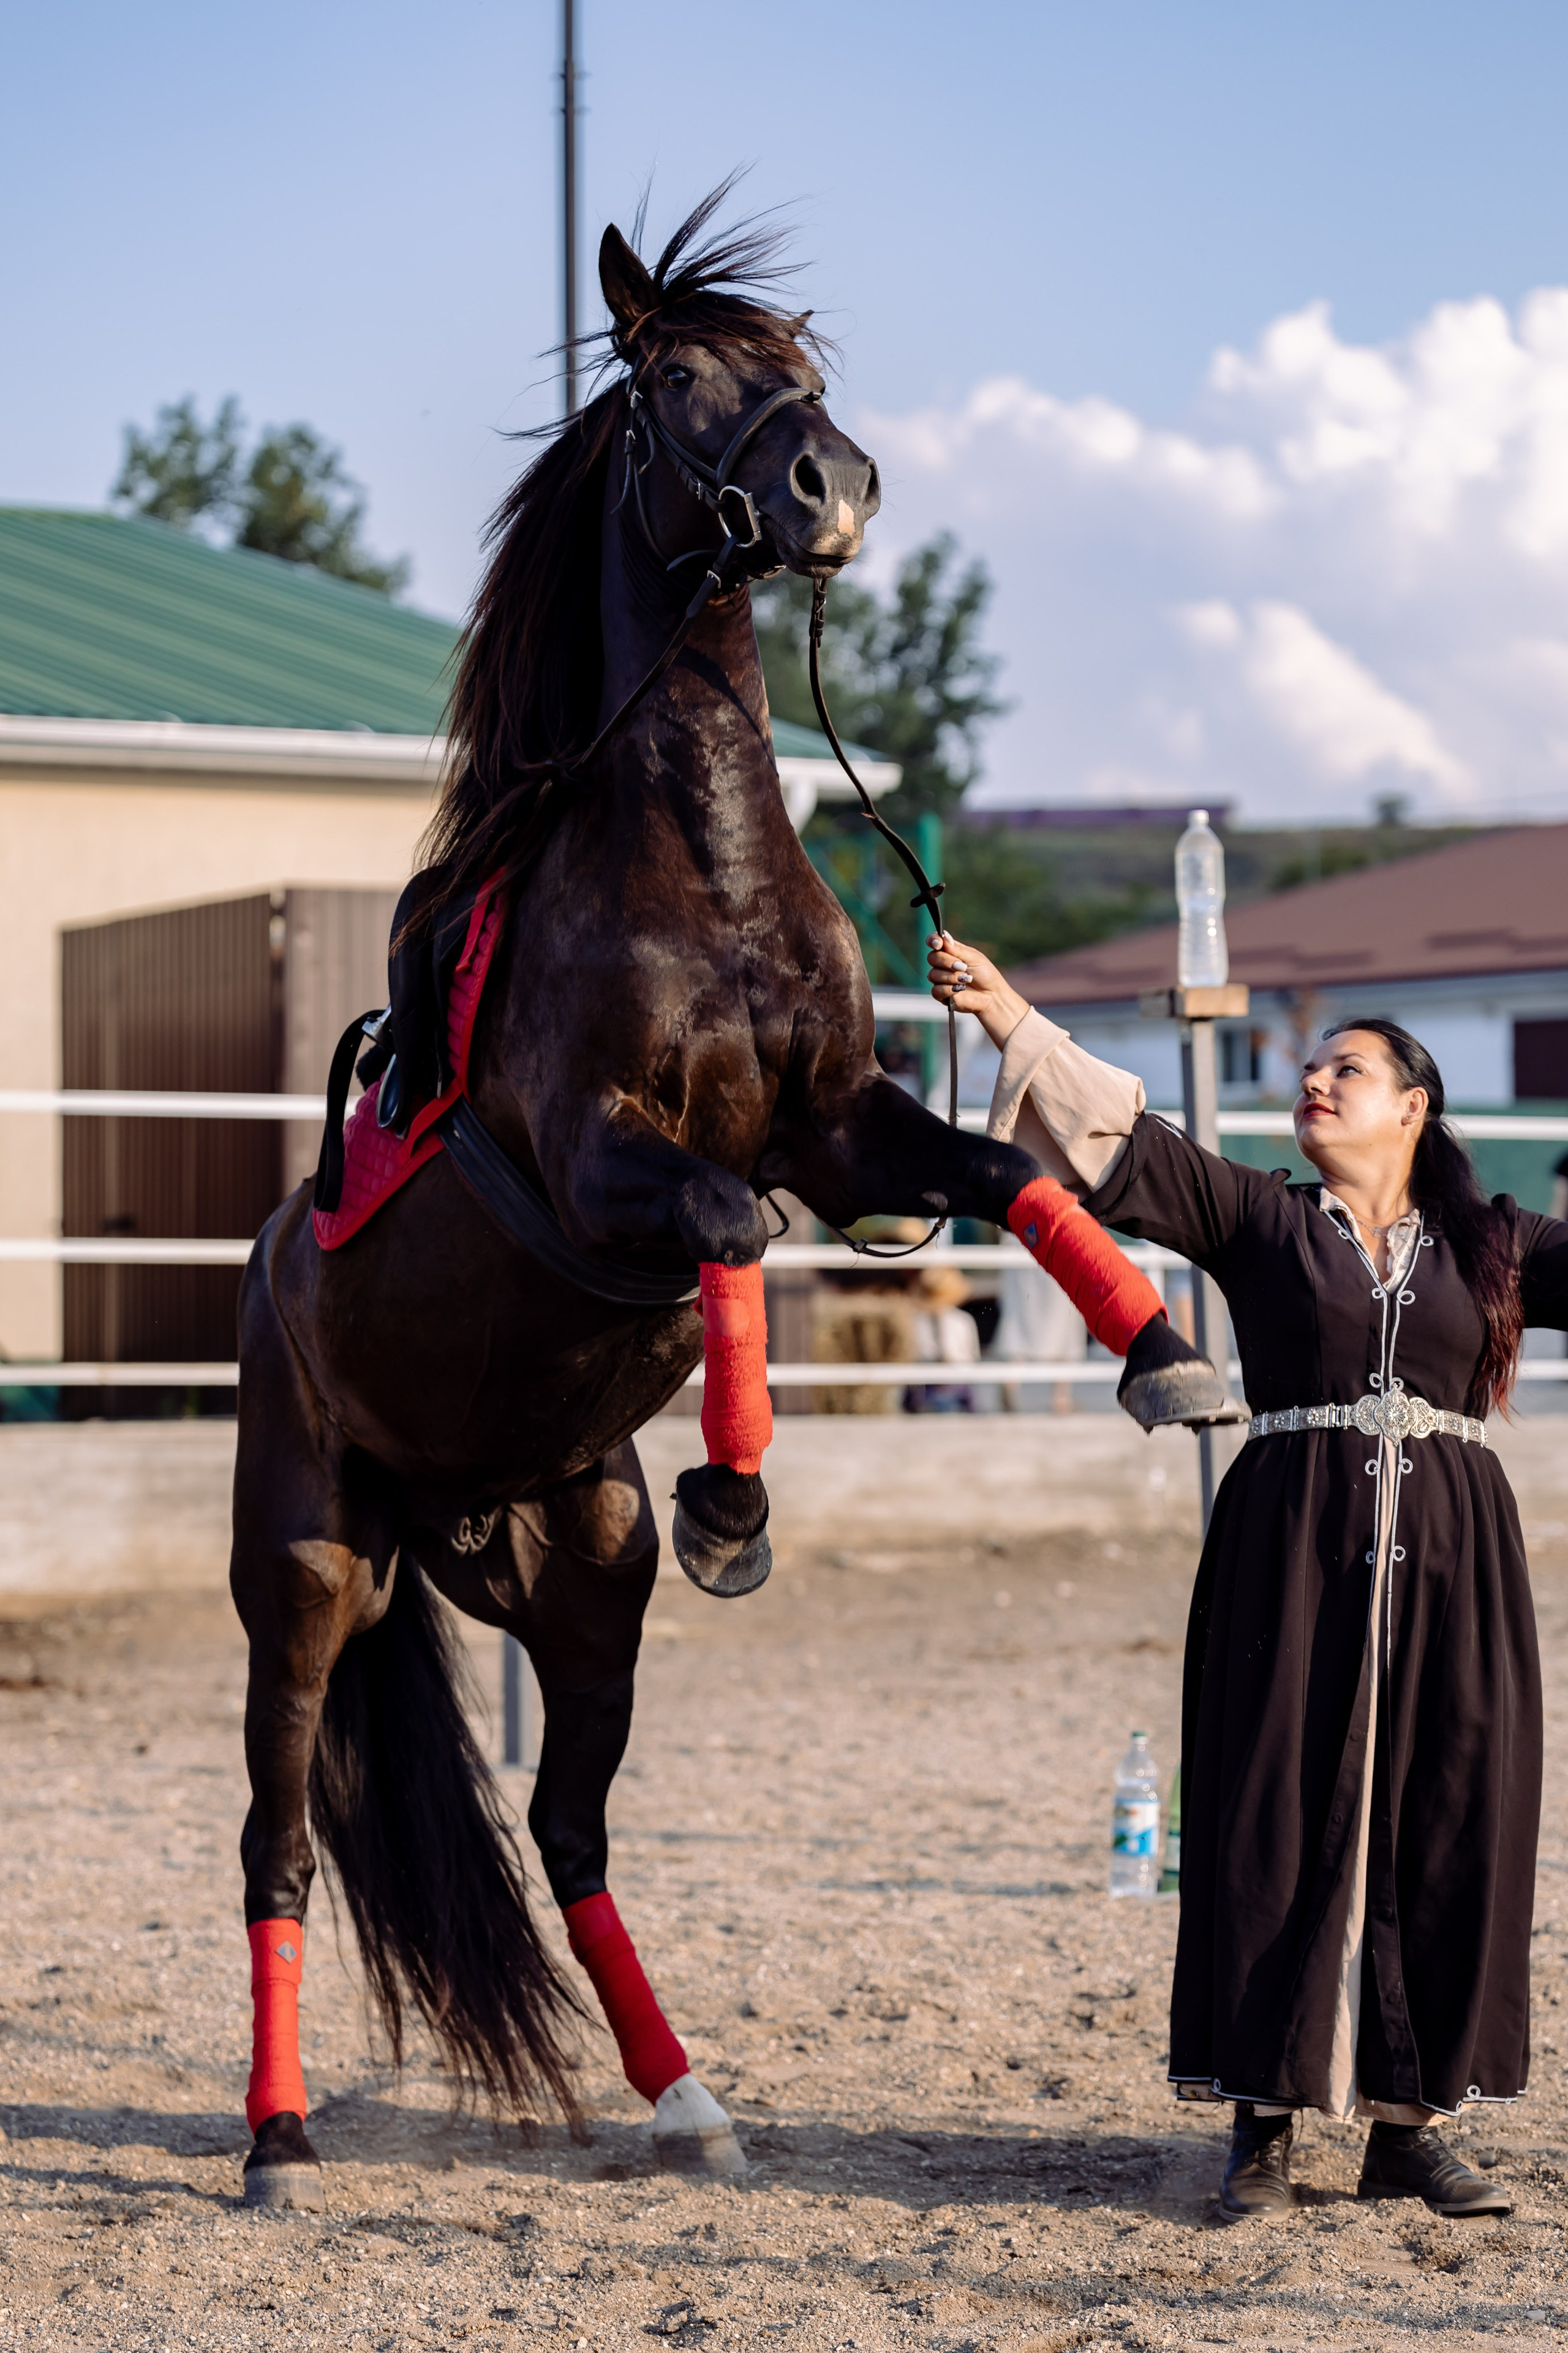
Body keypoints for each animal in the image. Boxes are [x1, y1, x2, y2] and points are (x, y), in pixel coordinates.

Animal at [230, 189, 1224, 2211]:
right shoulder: (607, 1161)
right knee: (277, 1845)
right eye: (679, 377)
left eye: (803, 370)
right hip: (303, 1575)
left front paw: (1164, 1351)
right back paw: (280, 2135)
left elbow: (1003, 1166)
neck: (698, 868)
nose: (835, 484)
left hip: (578, 1580)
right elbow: (730, 1230)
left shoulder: (844, 1127)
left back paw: (686, 2097)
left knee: (568, 1826)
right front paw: (741, 1496)